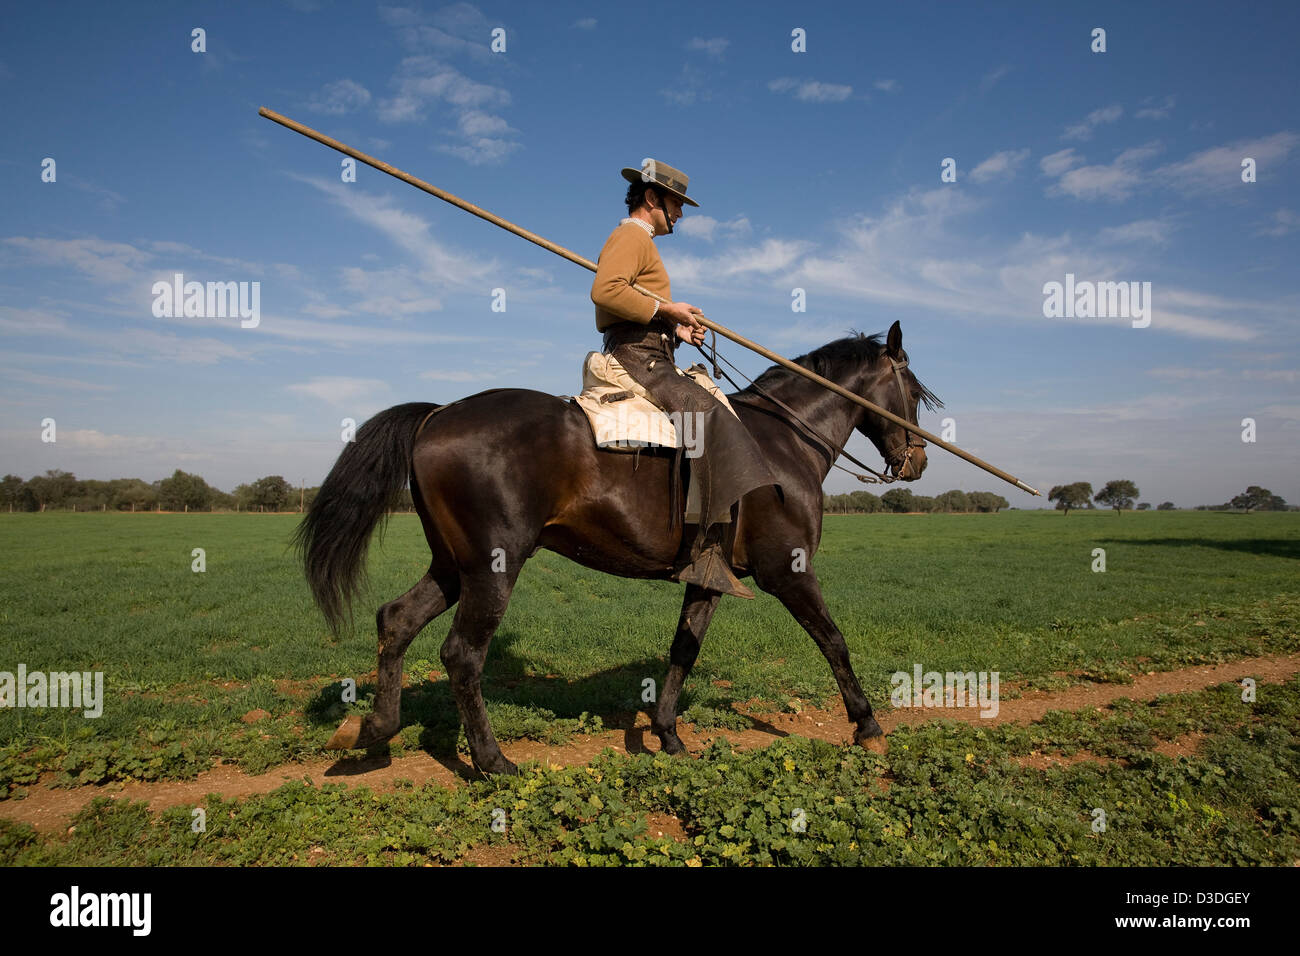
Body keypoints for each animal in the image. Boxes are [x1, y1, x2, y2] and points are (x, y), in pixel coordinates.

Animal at [295, 321, 941, 780]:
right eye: (913, 390)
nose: (917, 462)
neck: (782, 441)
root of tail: (436, 416)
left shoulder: (707, 577)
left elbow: (684, 649)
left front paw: (669, 735)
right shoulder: (788, 571)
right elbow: (833, 639)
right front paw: (867, 725)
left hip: (453, 566)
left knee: (396, 620)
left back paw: (373, 730)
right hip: (492, 567)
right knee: (462, 655)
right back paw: (493, 761)